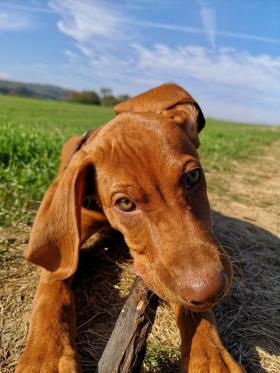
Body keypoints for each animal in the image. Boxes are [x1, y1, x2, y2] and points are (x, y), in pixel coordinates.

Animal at [15, 83, 244, 370]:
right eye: (124, 203)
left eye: (193, 176)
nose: (212, 290)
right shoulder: (63, 245)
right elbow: (52, 285)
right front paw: (46, 356)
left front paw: (211, 358)